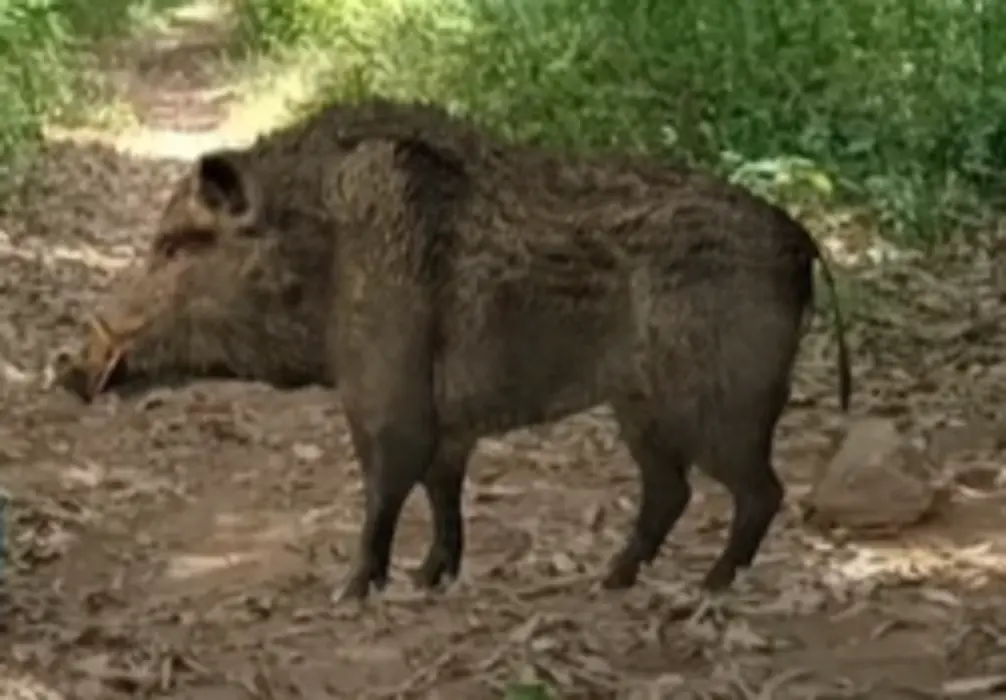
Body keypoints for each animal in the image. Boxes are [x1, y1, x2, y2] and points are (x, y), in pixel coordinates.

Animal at [56, 98, 851, 601]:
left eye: (177, 245)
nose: (66, 365)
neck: (322, 248)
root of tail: (801, 240)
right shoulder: (449, 423)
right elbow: (443, 492)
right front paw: (427, 580)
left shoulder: (385, 395)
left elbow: (386, 486)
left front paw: (351, 592)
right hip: (641, 411)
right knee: (671, 491)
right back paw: (611, 582)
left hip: (725, 402)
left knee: (760, 491)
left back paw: (707, 590)